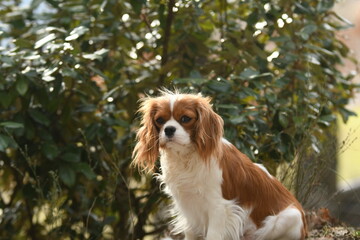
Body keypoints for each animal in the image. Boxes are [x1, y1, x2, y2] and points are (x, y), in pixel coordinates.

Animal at [132, 90, 306, 240]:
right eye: (160, 120)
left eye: (185, 119)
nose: (168, 130)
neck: (186, 157)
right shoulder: (188, 206)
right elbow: (190, 232)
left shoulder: (219, 208)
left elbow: (213, 235)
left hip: (290, 217)